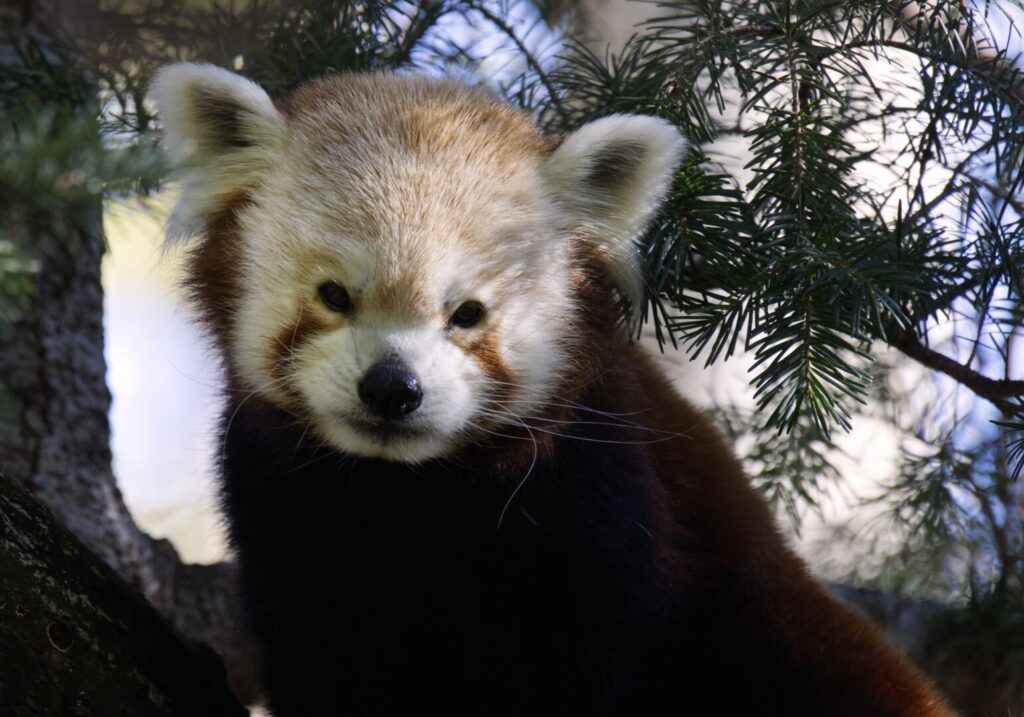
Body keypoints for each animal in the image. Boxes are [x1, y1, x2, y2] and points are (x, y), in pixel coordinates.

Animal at [151, 64, 958, 712]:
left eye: (467, 313)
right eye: (334, 295)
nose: (392, 388)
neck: (412, 492)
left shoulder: (600, 503)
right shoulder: (286, 516)